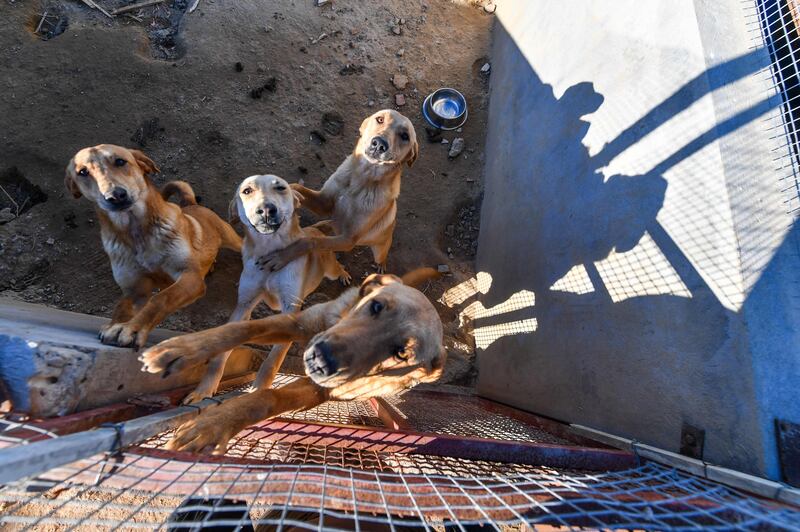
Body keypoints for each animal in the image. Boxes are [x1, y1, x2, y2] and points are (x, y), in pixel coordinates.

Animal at [64, 143, 241, 350]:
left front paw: (131, 329)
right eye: (82, 172)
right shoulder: (135, 289)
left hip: (230, 237)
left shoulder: (190, 277)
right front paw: (115, 325)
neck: (136, 233)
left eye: (120, 161)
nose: (115, 196)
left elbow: (160, 299)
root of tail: (190, 204)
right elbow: (121, 306)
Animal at [141, 266, 446, 454]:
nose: (323, 361)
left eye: (401, 354)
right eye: (377, 306)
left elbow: (267, 398)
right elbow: (240, 329)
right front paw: (182, 349)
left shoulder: (319, 390)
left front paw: (214, 424)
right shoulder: (299, 323)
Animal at [184, 175, 354, 404]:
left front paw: (257, 393)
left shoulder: (290, 309)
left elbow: (272, 360)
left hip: (330, 269)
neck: (269, 251)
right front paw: (203, 390)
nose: (266, 209)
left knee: (339, 267)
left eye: (281, 188)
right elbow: (220, 355)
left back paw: (344, 275)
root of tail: (313, 230)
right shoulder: (244, 305)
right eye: (247, 191)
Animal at [258, 108, 422, 274]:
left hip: (379, 250)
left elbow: (312, 241)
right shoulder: (324, 203)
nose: (379, 144)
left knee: (381, 256)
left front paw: (281, 257)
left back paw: (381, 265)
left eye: (405, 136)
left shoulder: (348, 240)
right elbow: (298, 187)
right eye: (380, 119)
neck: (359, 181)